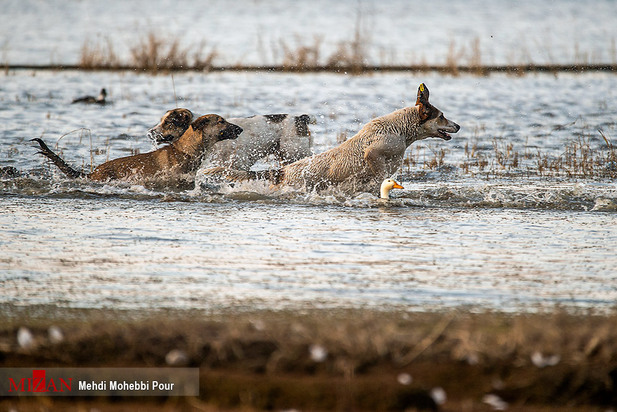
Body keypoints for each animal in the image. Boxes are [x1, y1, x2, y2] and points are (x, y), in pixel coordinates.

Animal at [205, 83, 460, 195]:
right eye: (442, 116)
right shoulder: (374, 153)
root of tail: (282, 172)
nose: (458, 125)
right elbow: (377, 173)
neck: (401, 129)